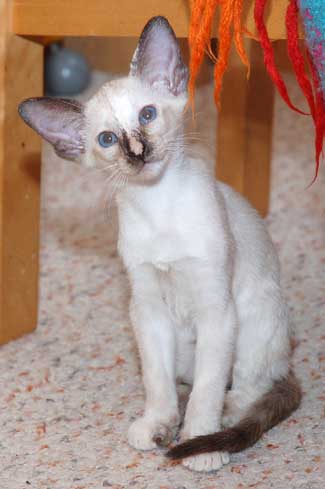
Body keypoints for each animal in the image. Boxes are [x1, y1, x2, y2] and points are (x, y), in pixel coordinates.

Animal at [18, 16, 302, 472]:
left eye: (147, 115)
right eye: (107, 140)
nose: (138, 151)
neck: (159, 206)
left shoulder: (215, 308)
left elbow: (207, 389)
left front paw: (201, 443)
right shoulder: (148, 308)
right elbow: (158, 382)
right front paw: (158, 425)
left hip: (253, 323)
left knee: (249, 386)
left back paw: (225, 417)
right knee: (184, 381)